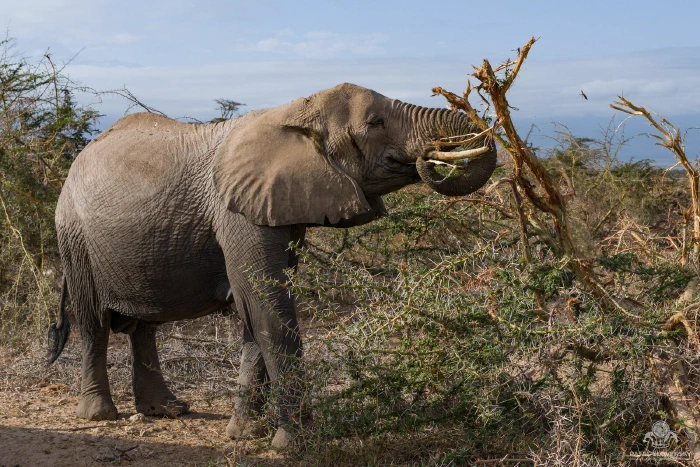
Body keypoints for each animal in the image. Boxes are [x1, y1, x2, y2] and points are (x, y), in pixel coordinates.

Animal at [47, 83, 497, 448]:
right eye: (374, 122)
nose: (431, 157)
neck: (294, 112)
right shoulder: (238, 214)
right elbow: (267, 308)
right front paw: (295, 444)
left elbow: (256, 313)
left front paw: (246, 434)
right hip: (74, 237)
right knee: (92, 321)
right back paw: (100, 415)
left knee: (145, 326)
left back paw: (168, 410)